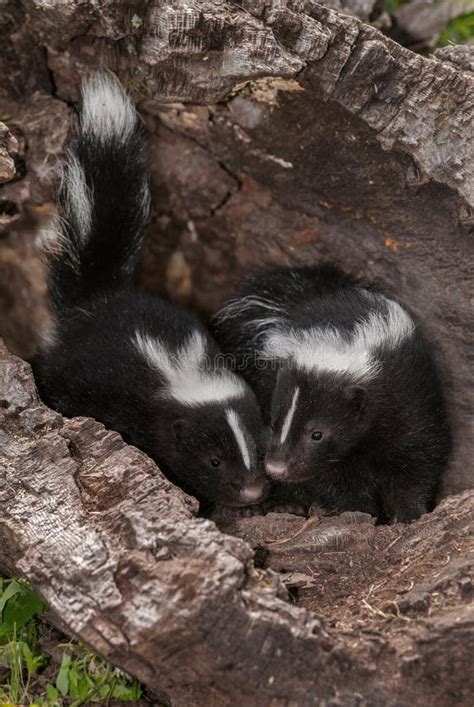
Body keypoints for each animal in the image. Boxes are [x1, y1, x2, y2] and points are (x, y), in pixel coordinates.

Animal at [32, 74, 270, 508]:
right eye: (213, 460)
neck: (180, 370)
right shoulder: (121, 397)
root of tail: (99, 300)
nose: (252, 492)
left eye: (259, 449)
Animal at [213, 268, 450, 524]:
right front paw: (361, 512)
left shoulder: (408, 398)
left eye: (317, 434)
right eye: (274, 425)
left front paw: (408, 514)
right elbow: (334, 480)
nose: (276, 467)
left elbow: (416, 458)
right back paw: (287, 504)